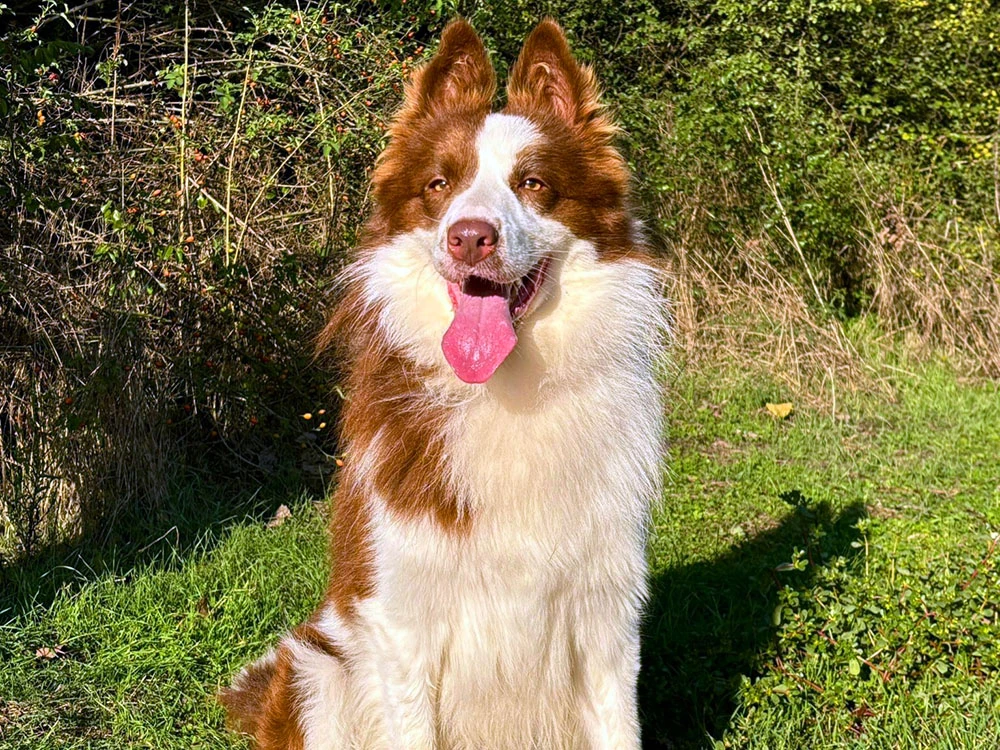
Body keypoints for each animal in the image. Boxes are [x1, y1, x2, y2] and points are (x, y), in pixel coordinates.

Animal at [223, 17, 668, 750]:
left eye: (533, 183)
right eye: (439, 185)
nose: (469, 237)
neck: (507, 392)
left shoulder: (607, 608)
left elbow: (618, 723)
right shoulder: (404, 620)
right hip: (318, 668)